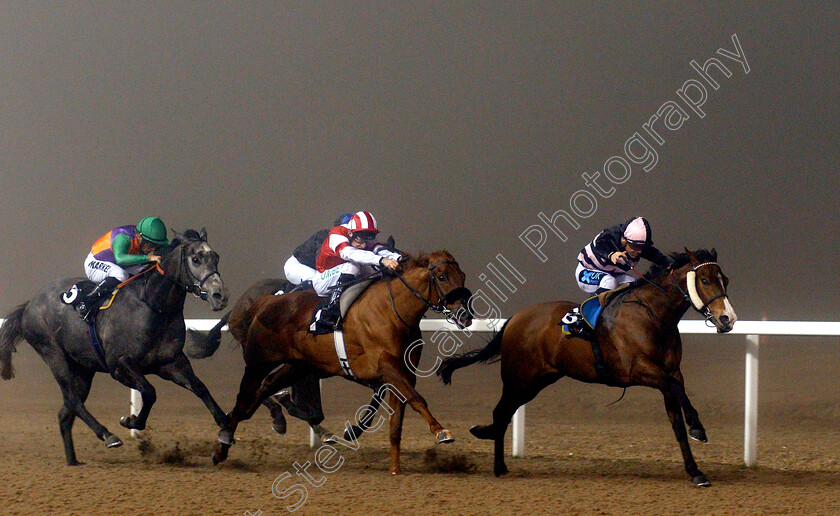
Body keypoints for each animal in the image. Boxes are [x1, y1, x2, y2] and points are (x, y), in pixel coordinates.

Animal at [0, 228, 230, 466]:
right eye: (196, 259)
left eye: (216, 257)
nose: (220, 296)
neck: (153, 306)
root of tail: (29, 305)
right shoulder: (119, 365)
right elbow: (149, 391)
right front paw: (131, 421)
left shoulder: (171, 363)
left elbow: (200, 388)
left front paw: (225, 433)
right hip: (53, 354)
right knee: (72, 399)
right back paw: (108, 435)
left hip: (83, 369)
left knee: (65, 412)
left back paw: (73, 460)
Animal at [210, 248, 472, 474]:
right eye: (441, 276)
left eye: (462, 276)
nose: (465, 316)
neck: (392, 311)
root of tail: (264, 302)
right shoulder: (386, 366)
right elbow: (417, 399)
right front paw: (441, 432)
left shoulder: (404, 372)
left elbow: (397, 420)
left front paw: (395, 469)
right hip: (258, 361)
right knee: (245, 397)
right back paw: (224, 438)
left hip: (298, 365)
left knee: (263, 390)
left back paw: (226, 443)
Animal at [440, 250, 736, 488]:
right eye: (705, 280)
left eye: (725, 279)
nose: (728, 319)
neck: (651, 314)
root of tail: (514, 319)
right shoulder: (639, 369)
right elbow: (678, 394)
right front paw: (698, 428)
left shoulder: (669, 373)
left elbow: (677, 420)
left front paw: (696, 472)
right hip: (518, 377)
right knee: (501, 412)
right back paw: (498, 464)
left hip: (536, 381)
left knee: (505, 413)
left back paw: (495, 454)